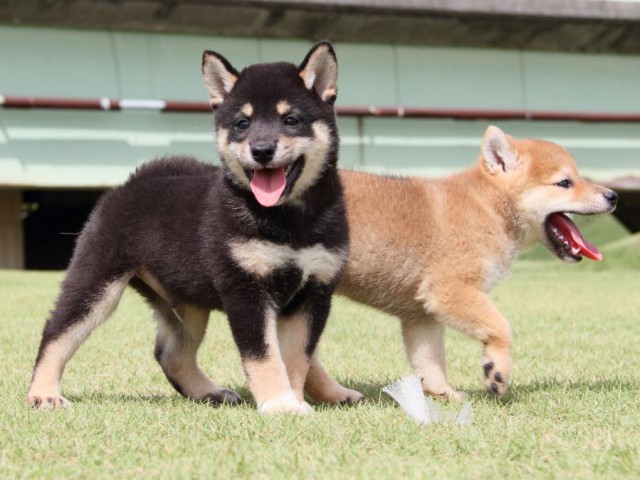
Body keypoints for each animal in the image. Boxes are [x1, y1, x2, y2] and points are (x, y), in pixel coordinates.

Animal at [27, 41, 362, 414]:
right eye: (242, 123)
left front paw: (292, 398)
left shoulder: (314, 291)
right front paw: (280, 403)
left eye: (290, 119)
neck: (289, 219)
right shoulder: (246, 290)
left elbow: (297, 357)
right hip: (96, 281)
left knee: (171, 354)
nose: (261, 150)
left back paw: (213, 392)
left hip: (187, 301)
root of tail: (130, 183)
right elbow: (265, 356)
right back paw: (43, 393)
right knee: (57, 333)